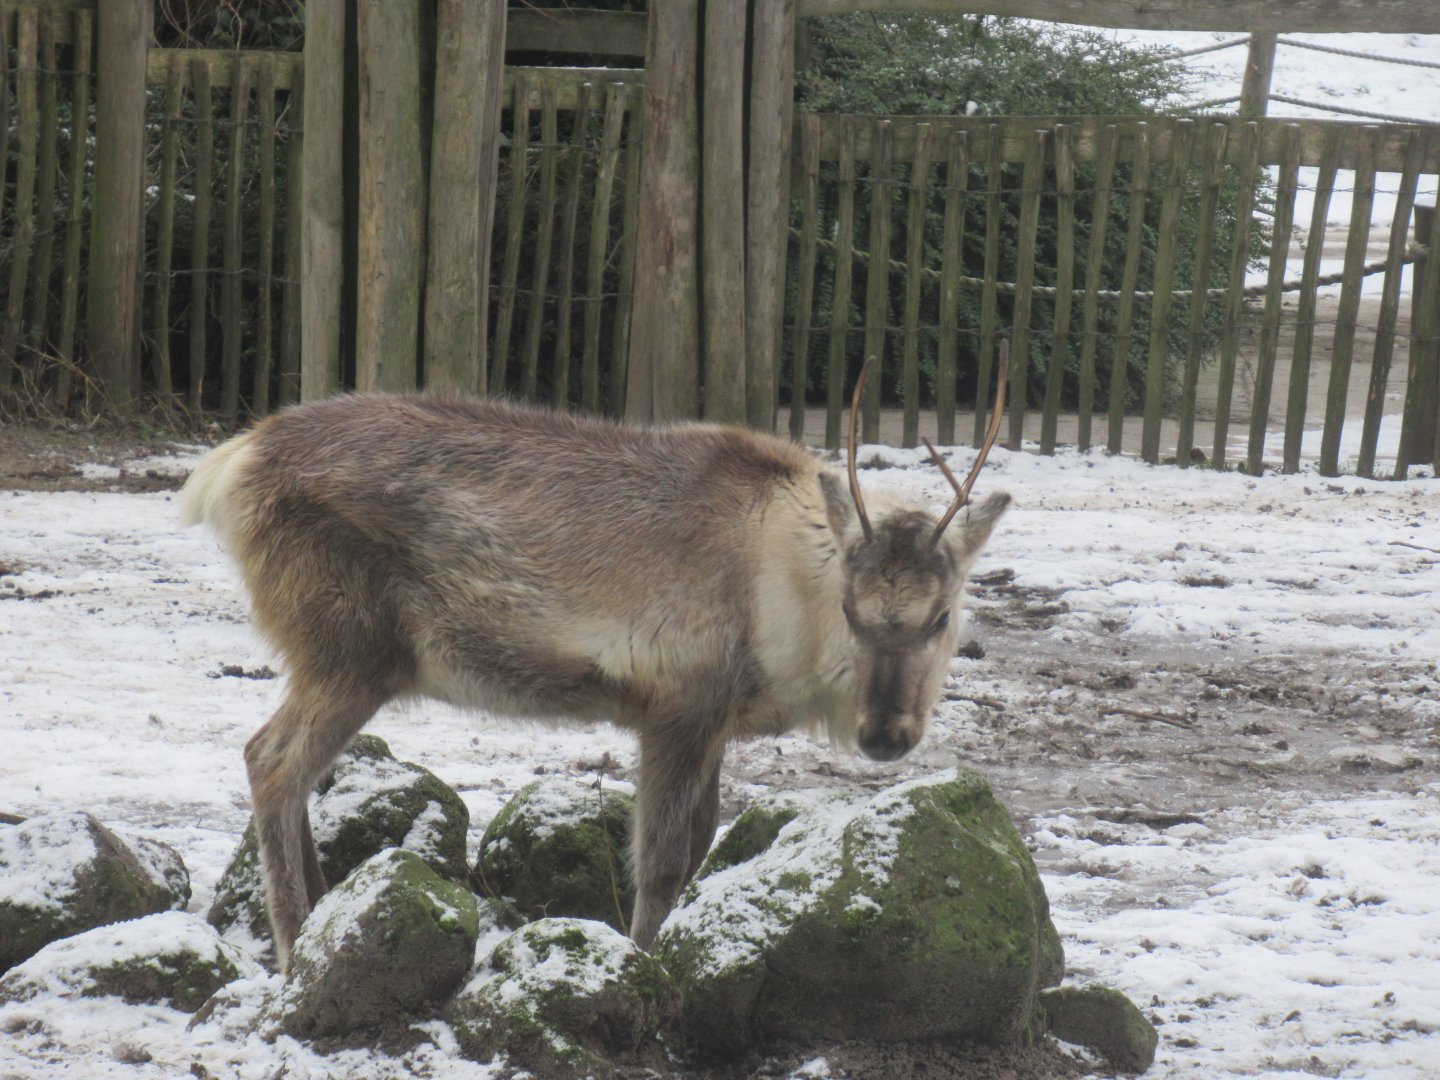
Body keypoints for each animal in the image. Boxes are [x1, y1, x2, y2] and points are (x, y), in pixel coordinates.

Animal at [181, 351, 1011, 970]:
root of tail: (227, 464)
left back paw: (323, 907)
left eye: (942, 615)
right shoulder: (676, 706)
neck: (781, 608)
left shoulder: (714, 723)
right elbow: (663, 861)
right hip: (348, 649)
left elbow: (702, 843)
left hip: (334, 657)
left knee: (288, 767)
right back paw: (294, 944)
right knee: (271, 759)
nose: (886, 734)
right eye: (851, 608)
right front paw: (642, 962)